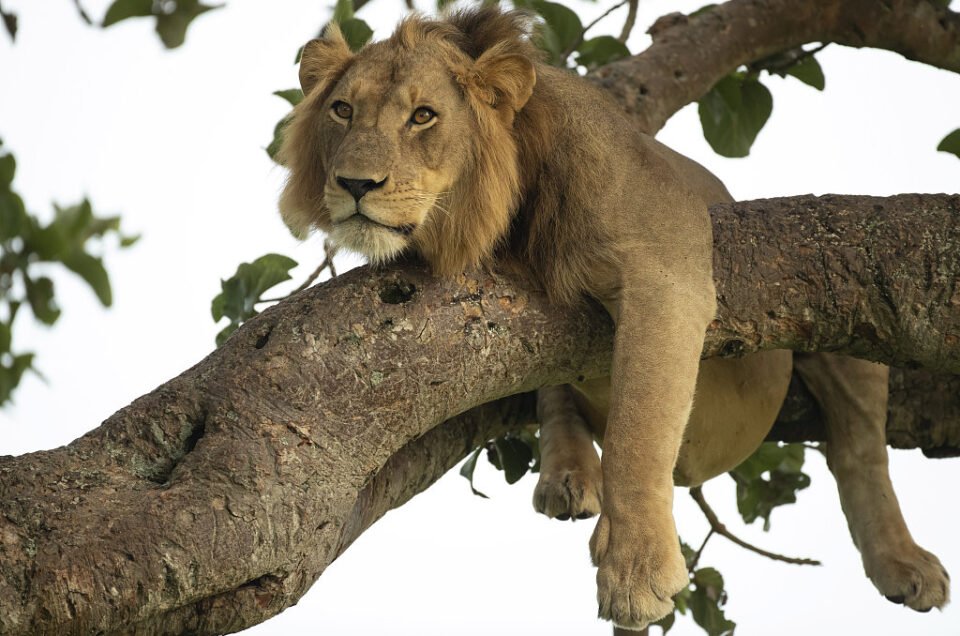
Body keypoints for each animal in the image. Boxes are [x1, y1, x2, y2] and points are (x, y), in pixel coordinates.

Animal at [277, 7, 950, 629]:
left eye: (423, 116)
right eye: (342, 110)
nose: (354, 184)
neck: (499, 220)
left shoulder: (666, 271)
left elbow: (639, 427)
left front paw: (636, 569)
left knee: (860, 450)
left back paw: (904, 562)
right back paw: (567, 471)